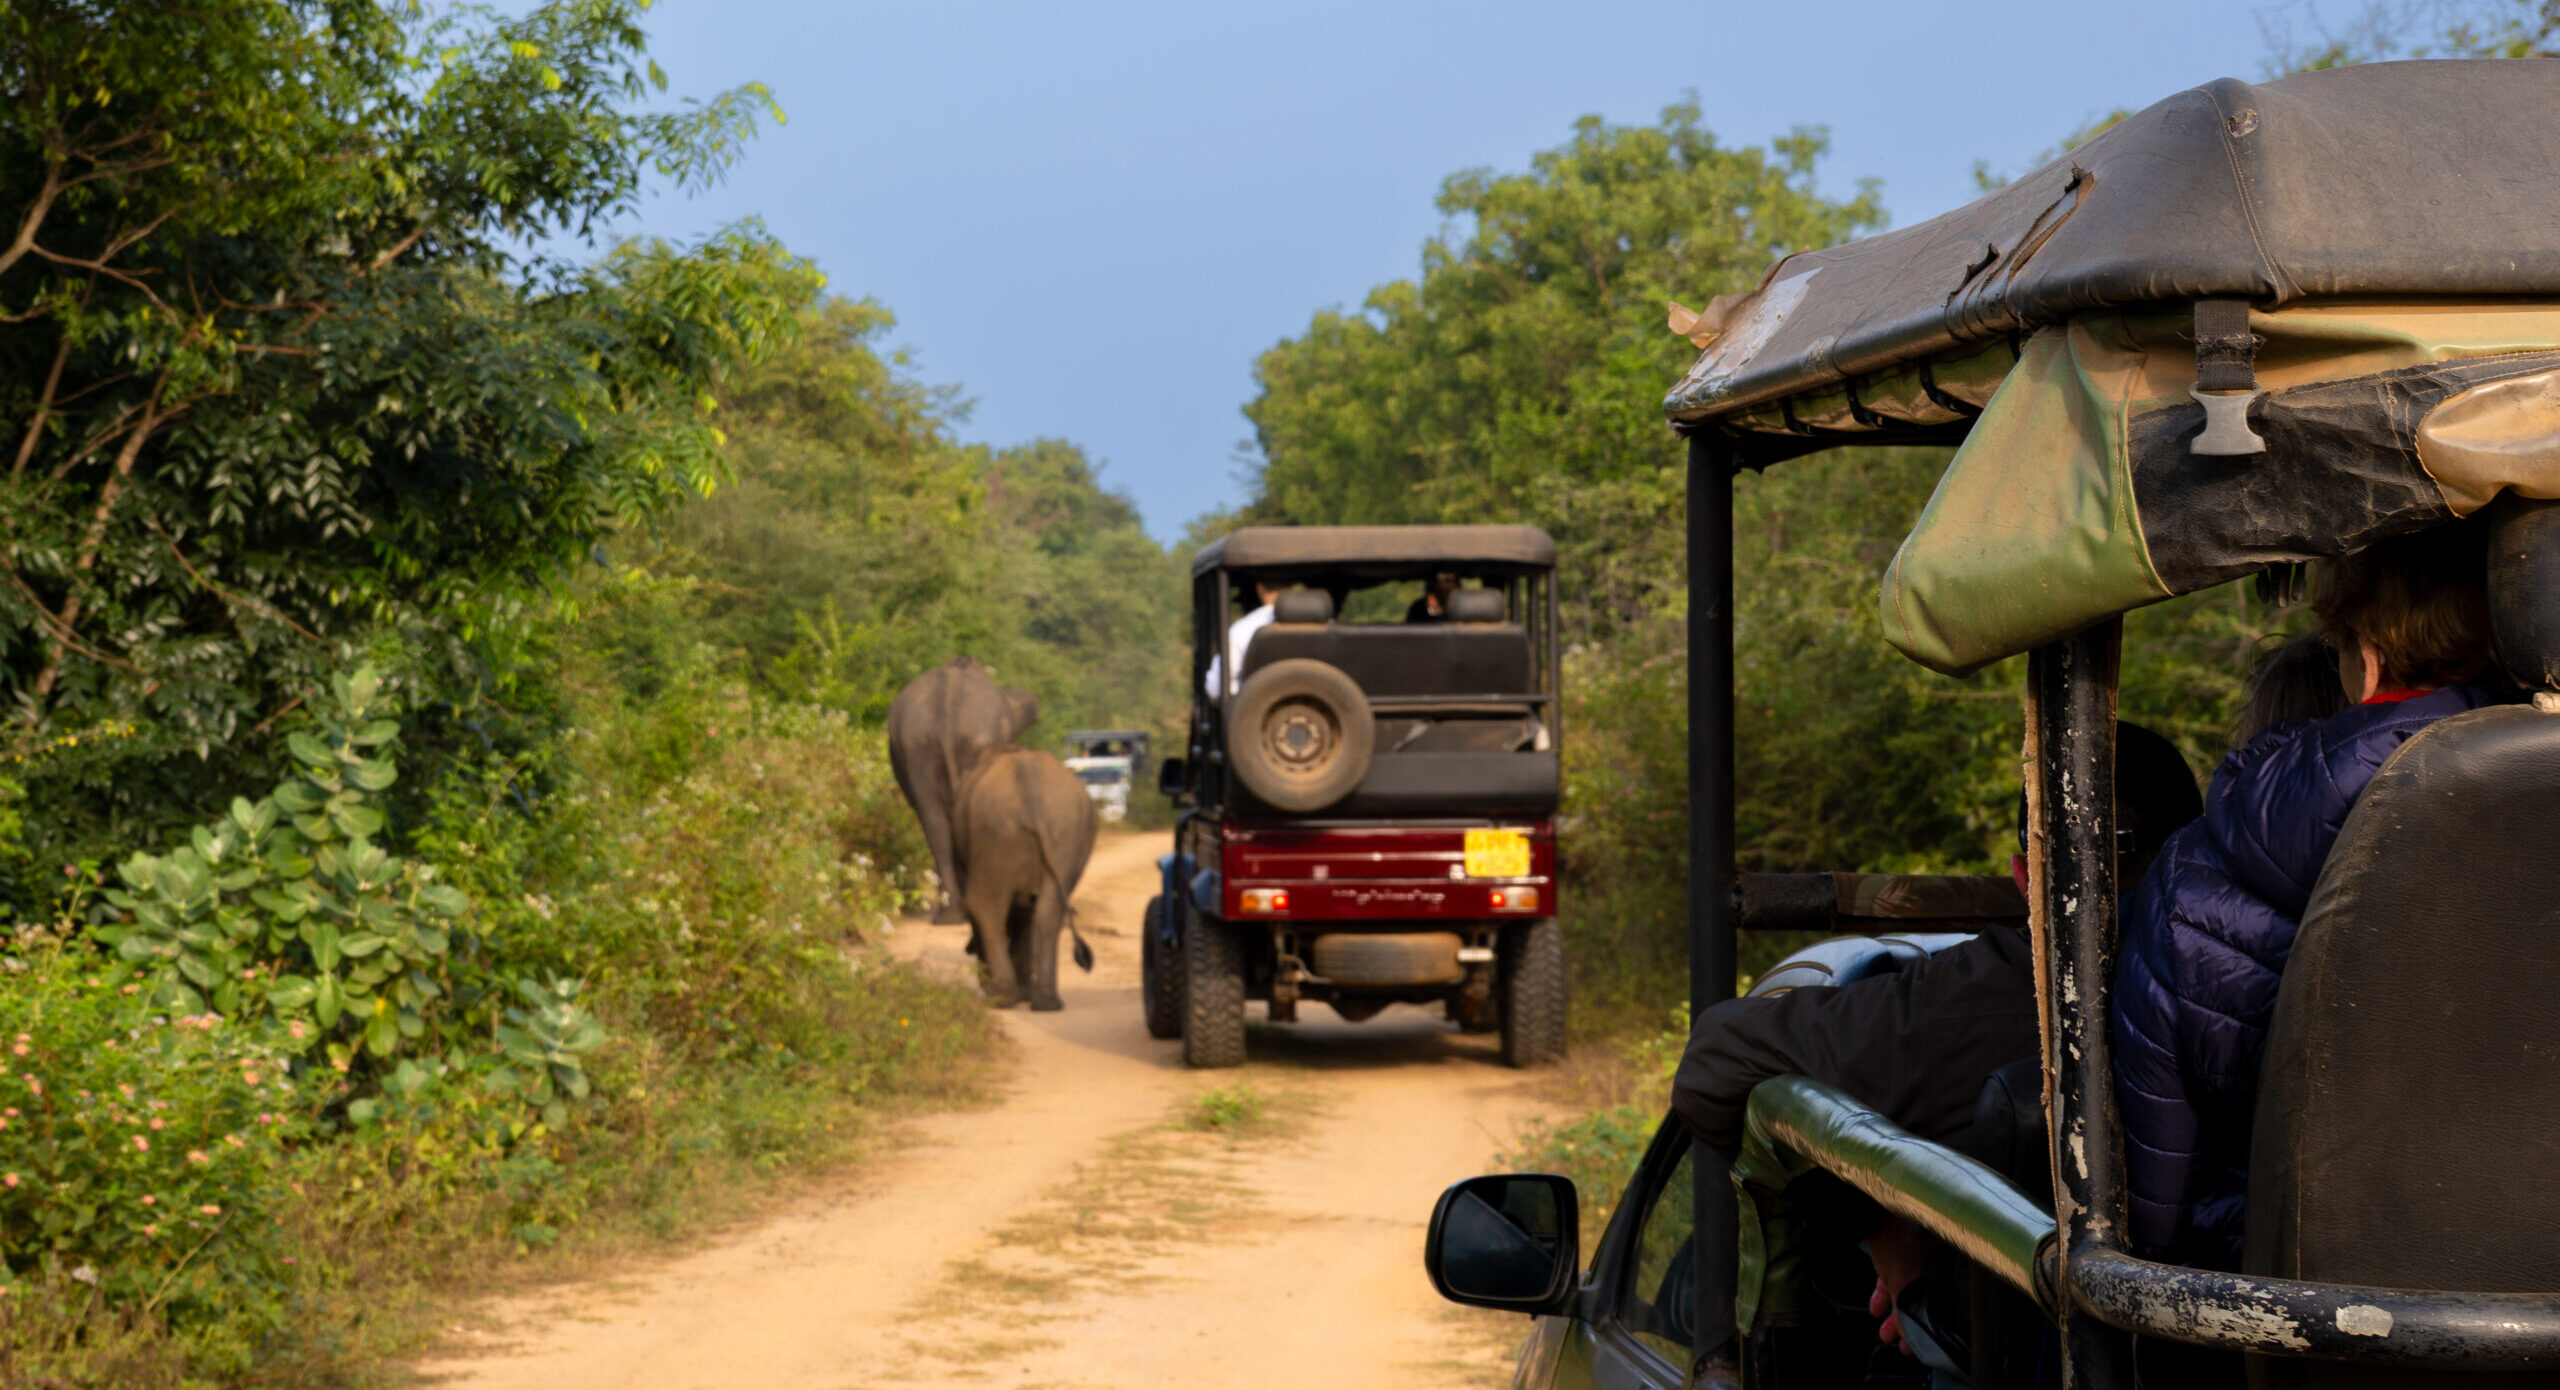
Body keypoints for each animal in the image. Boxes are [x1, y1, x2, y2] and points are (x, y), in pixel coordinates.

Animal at [952, 745, 1098, 1010]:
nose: (969, 950)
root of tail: (1032, 795)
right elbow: (1026, 910)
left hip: (994, 835)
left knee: (984, 906)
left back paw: (1002, 999)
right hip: (1065, 833)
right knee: (1048, 911)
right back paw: (1047, 1003)